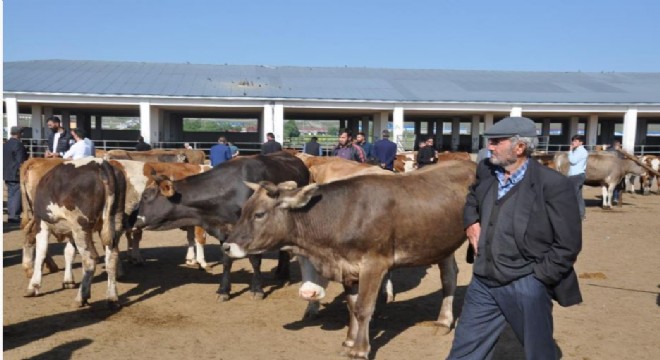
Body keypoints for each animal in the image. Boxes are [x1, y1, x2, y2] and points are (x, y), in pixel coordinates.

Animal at [26, 159, 126, 308]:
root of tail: (100, 163)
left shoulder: (42, 223)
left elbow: (41, 253)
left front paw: (34, 286)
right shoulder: (71, 232)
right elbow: (69, 252)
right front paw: (68, 280)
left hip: (81, 226)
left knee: (90, 260)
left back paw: (81, 297)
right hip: (114, 223)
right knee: (111, 258)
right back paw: (112, 297)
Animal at [134, 152, 312, 300]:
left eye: (146, 196)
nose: (136, 221)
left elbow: (255, 260)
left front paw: (257, 288)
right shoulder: (224, 231)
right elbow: (226, 260)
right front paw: (223, 290)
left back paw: (284, 274)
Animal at [224, 161, 476, 360]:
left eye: (259, 214)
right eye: (243, 211)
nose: (227, 246)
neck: (342, 215)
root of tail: (467, 162)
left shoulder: (374, 264)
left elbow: (364, 307)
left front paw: (360, 349)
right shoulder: (347, 267)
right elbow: (352, 306)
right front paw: (348, 341)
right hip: (442, 243)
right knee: (449, 277)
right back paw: (444, 321)